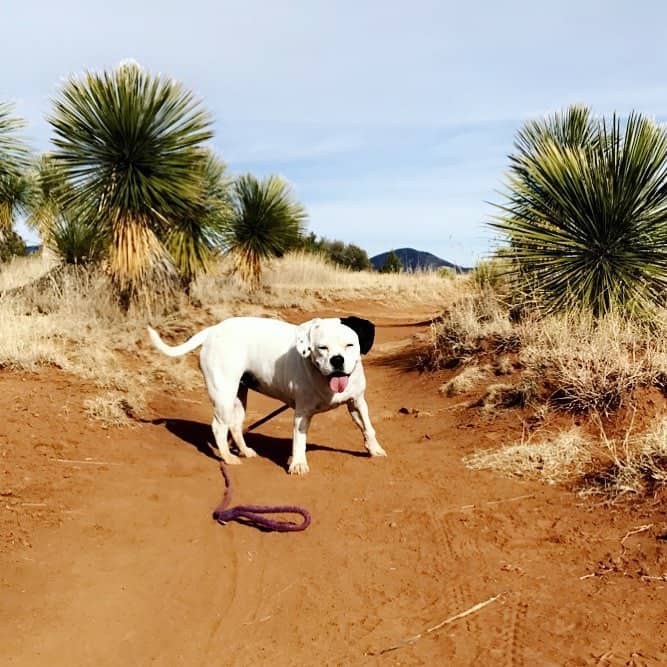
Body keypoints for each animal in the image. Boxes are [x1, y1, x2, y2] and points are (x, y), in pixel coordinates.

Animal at [147, 316, 386, 472]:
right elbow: (299, 440)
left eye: (350, 345)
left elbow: (368, 428)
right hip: (223, 395)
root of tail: (213, 330)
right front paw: (298, 463)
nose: (337, 360)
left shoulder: (357, 403)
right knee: (219, 427)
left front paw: (374, 449)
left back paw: (244, 451)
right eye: (322, 348)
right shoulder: (302, 414)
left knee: (235, 426)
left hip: (239, 397)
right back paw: (227, 457)